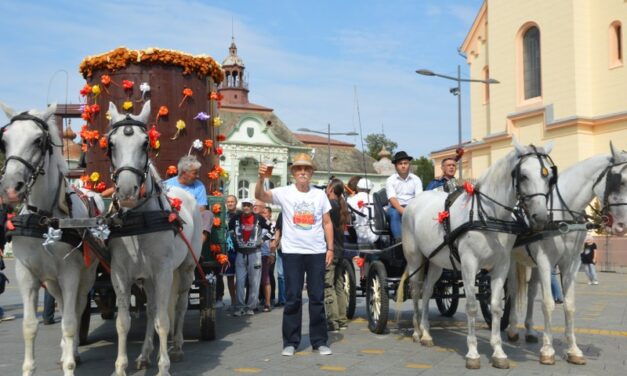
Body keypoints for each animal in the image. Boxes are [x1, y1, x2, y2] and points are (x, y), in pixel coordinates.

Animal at [0, 103, 99, 376]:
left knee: (76, 309)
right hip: (52, 282)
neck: (43, 218)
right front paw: (29, 369)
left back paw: (72, 352)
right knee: (64, 306)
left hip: (86, 276)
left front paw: (69, 366)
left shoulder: (71, 274)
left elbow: (70, 322)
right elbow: (29, 327)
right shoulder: (26, 274)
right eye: (4, 141)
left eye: (38, 140)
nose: (10, 189)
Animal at [105, 100, 202, 376]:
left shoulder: (163, 272)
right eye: (111, 144)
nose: (127, 191)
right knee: (150, 311)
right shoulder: (120, 274)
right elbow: (124, 322)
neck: (139, 222)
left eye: (145, 143)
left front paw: (163, 366)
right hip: (147, 278)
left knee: (179, 305)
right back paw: (145, 354)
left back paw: (177, 346)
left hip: (186, 268)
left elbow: (163, 321)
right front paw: (121, 366)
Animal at [402, 140, 556, 368]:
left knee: (428, 290)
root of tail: (414, 202)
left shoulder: (501, 265)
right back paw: (416, 331)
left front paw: (499, 352)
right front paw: (473, 353)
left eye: (548, 176)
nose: (541, 218)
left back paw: (427, 333)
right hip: (414, 259)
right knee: (415, 290)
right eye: (523, 176)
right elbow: (472, 306)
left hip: (436, 262)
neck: (488, 215)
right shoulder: (469, 264)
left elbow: (496, 306)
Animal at [508, 143, 627, 364]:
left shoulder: (570, 264)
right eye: (620, 180)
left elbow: (569, 305)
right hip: (510, 260)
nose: (622, 226)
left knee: (531, 293)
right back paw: (512, 329)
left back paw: (529, 330)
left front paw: (573, 350)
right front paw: (547, 350)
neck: (561, 214)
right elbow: (548, 304)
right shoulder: (545, 261)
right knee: (512, 289)